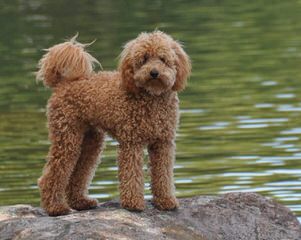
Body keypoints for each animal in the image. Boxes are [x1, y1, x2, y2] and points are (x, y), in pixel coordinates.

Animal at [35, 31, 190, 217]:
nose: (154, 72)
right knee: (51, 175)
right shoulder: (131, 143)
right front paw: (133, 203)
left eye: (162, 58)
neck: (151, 96)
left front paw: (166, 201)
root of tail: (63, 82)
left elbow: (163, 174)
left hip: (90, 141)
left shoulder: (163, 143)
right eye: (144, 59)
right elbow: (131, 174)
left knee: (79, 172)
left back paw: (81, 202)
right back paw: (55, 207)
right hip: (67, 137)